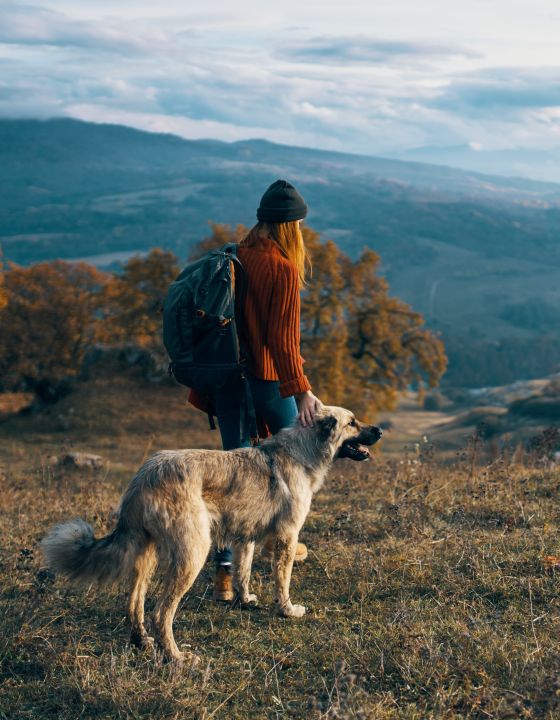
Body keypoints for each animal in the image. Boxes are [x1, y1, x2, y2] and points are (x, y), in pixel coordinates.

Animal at [41, 404, 382, 664]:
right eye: (352, 422)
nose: (379, 431)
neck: (303, 452)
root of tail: (145, 475)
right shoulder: (286, 536)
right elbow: (282, 580)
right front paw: (287, 610)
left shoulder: (244, 538)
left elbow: (243, 572)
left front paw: (244, 600)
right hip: (193, 553)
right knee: (161, 613)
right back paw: (176, 657)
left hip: (146, 554)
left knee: (134, 602)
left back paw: (142, 641)